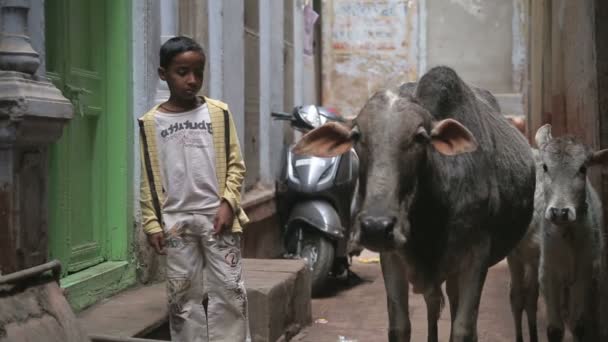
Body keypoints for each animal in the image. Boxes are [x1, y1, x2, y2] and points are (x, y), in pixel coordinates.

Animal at [296, 67, 536, 342]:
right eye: (357, 135)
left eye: (420, 137)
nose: (376, 226)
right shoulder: (393, 258)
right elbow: (400, 326)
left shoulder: (477, 255)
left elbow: (463, 327)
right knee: (434, 305)